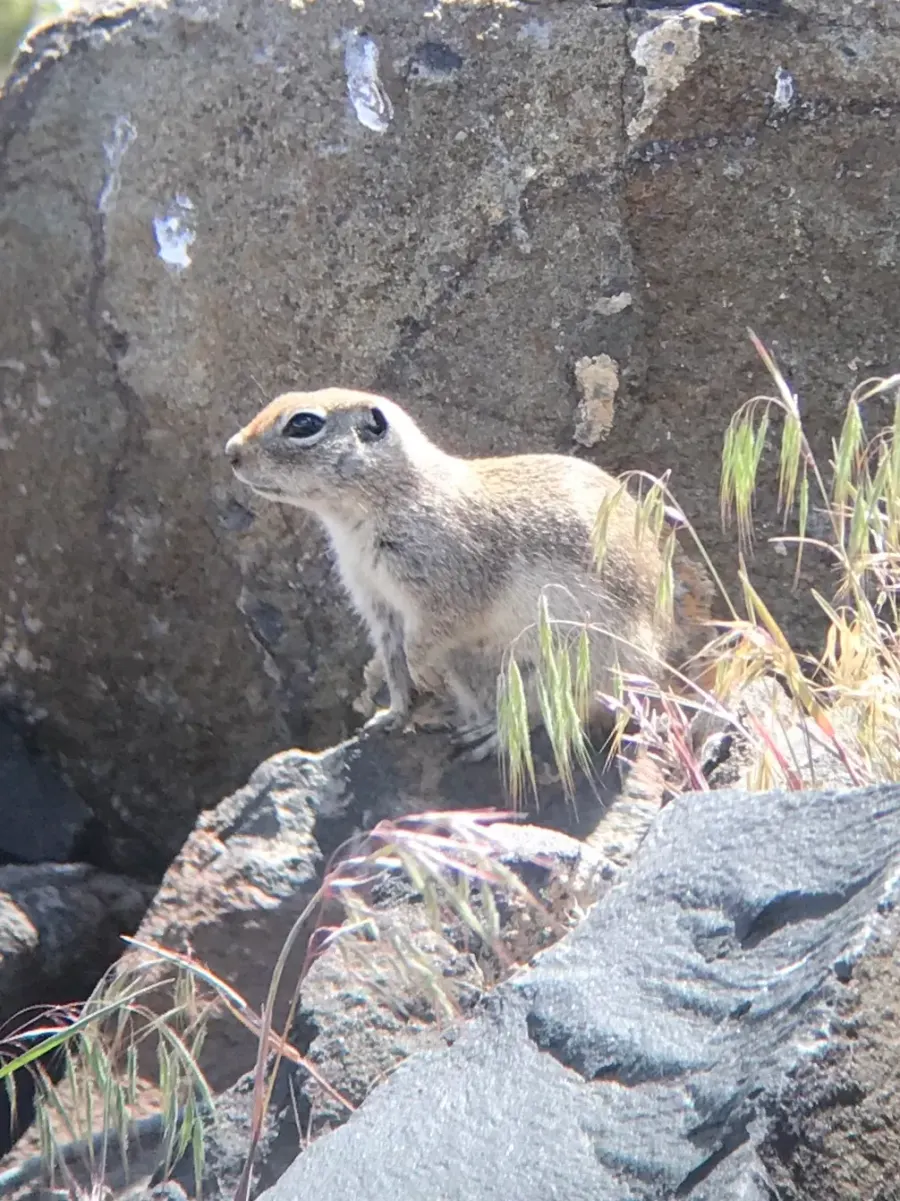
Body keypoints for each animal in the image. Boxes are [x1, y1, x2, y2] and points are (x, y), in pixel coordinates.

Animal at [225, 388, 714, 761]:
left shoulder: (445, 590)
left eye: (303, 424)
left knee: (555, 711)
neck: (392, 499)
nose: (231, 451)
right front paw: (391, 716)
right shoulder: (377, 602)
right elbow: (393, 662)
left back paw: (490, 733)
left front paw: (421, 678)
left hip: (574, 662)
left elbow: (424, 642)